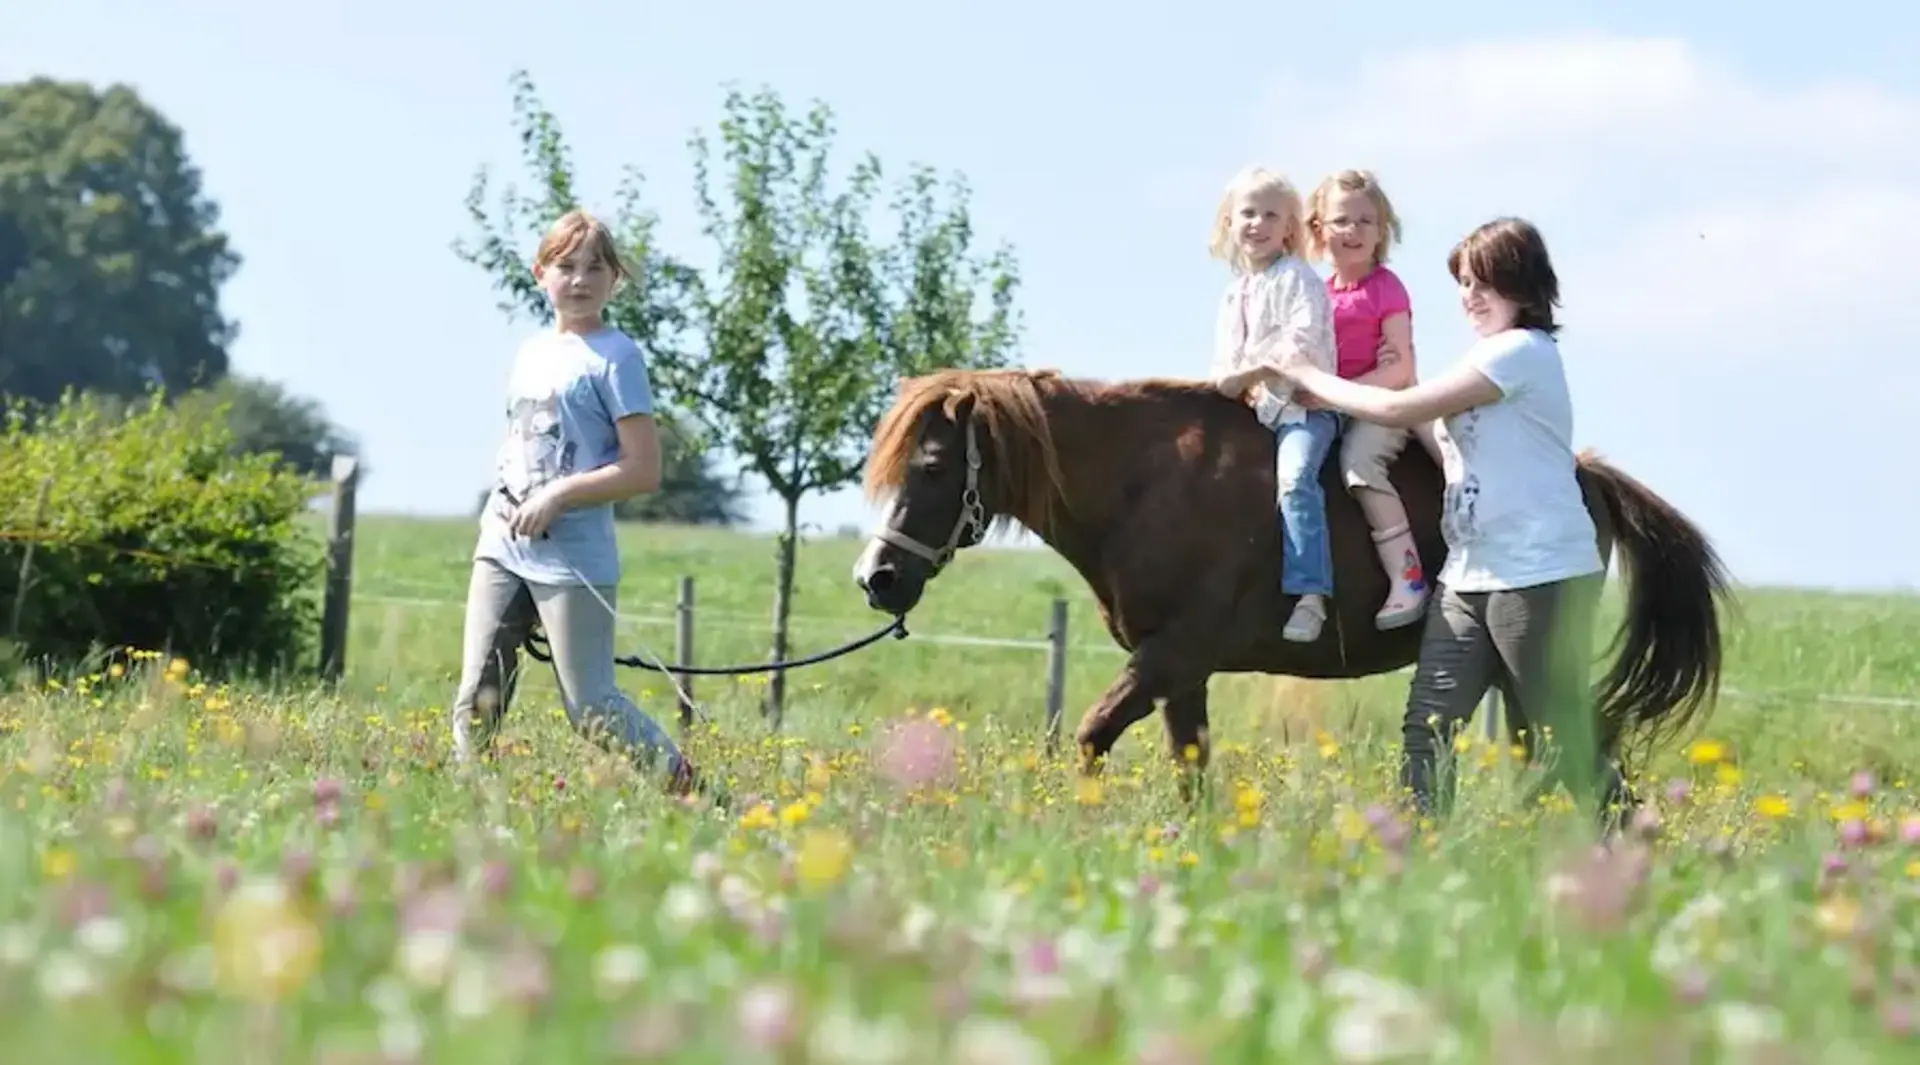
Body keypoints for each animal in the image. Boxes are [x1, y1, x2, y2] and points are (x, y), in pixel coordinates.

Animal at [850, 366, 1732, 802]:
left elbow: (1091, 735)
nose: (876, 577)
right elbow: (1190, 773)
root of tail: (1588, 475)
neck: (1144, 483)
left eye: (933, 465)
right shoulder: (1180, 674)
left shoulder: (1172, 655)